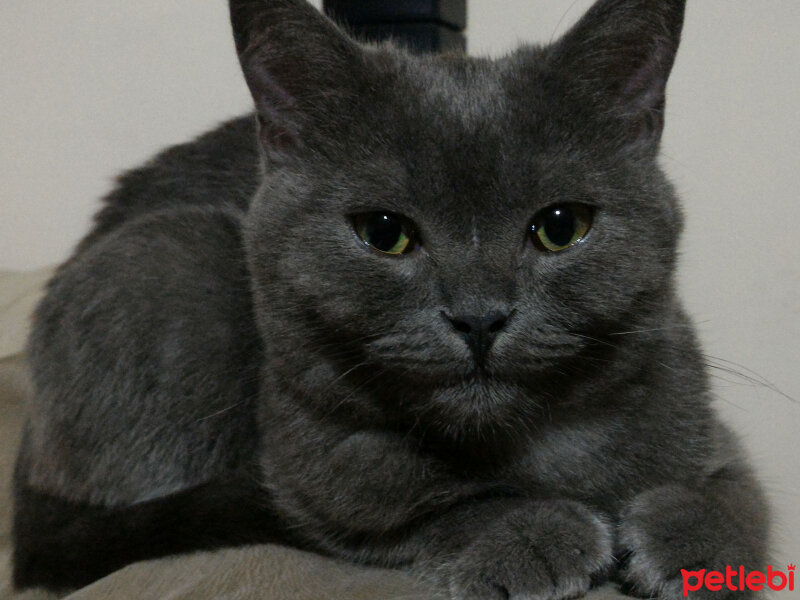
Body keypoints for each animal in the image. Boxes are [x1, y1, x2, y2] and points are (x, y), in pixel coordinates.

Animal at [12, 1, 768, 600]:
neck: (528, 447)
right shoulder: (310, 477)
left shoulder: (695, 410)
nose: (479, 316)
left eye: (561, 226)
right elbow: (422, 510)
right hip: (173, 258)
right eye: (383, 232)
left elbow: (740, 493)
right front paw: (531, 531)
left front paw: (695, 544)